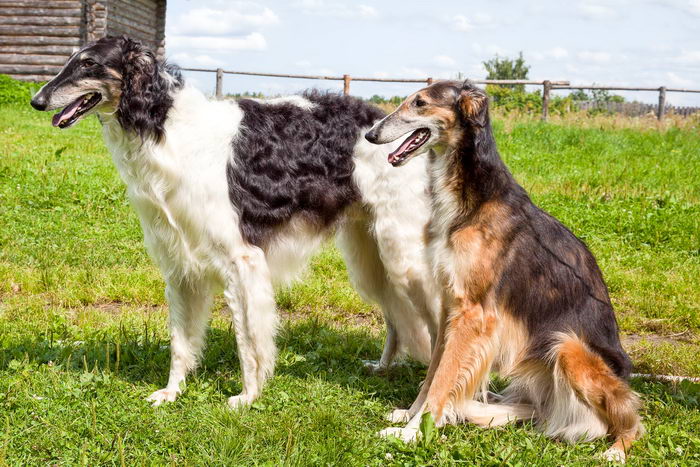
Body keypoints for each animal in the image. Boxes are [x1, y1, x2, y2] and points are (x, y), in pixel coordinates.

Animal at [31, 36, 442, 410]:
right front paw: (171, 392)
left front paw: (248, 396)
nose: (37, 101)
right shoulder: (180, 265)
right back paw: (383, 367)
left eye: (88, 63)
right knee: (396, 317)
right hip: (371, 255)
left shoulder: (242, 259)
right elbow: (181, 342)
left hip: (403, 254)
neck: (170, 130)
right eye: (72, 59)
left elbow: (249, 340)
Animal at [364, 81, 644, 464]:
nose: (370, 135)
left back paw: (615, 451)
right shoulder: (450, 303)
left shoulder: (473, 313)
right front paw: (410, 416)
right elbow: (434, 373)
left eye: (419, 103)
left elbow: (443, 378)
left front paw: (412, 433)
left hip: (569, 346)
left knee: (633, 418)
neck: (472, 198)